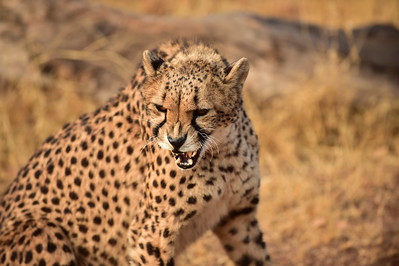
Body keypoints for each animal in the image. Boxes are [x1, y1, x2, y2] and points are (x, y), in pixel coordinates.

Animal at [0, 40, 272, 266]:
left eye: (201, 111)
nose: (176, 142)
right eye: (161, 108)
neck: (221, 150)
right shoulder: (149, 233)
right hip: (45, 231)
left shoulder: (239, 218)